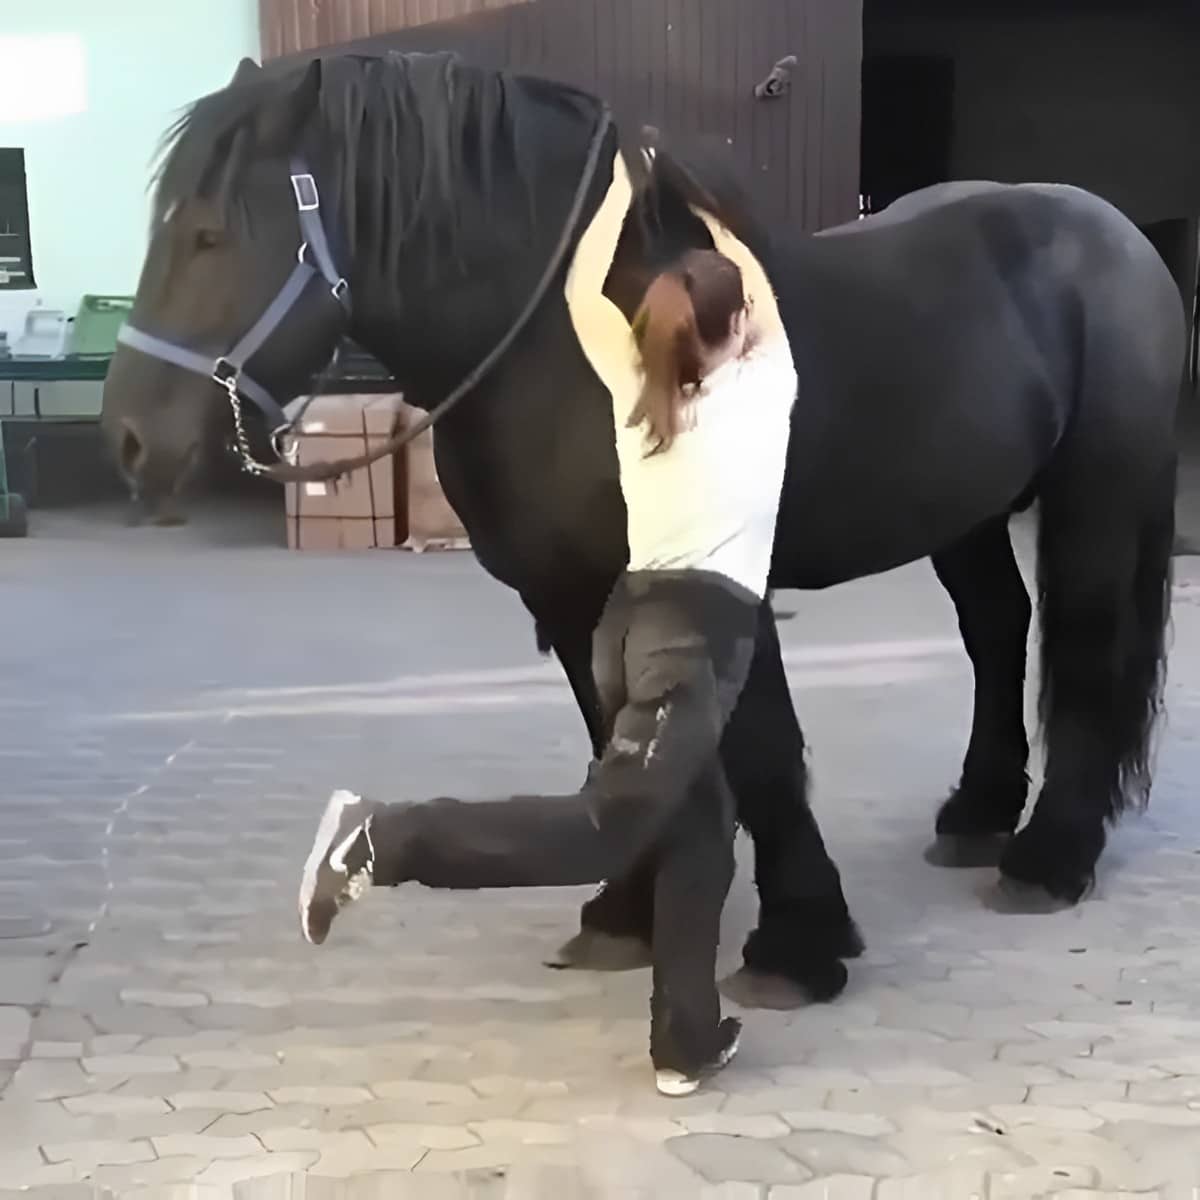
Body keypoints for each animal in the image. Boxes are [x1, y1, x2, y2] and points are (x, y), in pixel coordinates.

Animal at [100, 51, 1180, 1008]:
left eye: (208, 236)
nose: (128, 438)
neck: (574, 350)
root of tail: (1112, 232)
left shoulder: (714, 583)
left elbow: (764, 752)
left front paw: (797, 944)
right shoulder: (571, 596)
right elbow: (609, 750)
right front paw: (623, 916)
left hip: (1094, 495)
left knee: (1085, 647)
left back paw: (1050, 856)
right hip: (966, 513)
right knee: (998, 631)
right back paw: (977, 814)